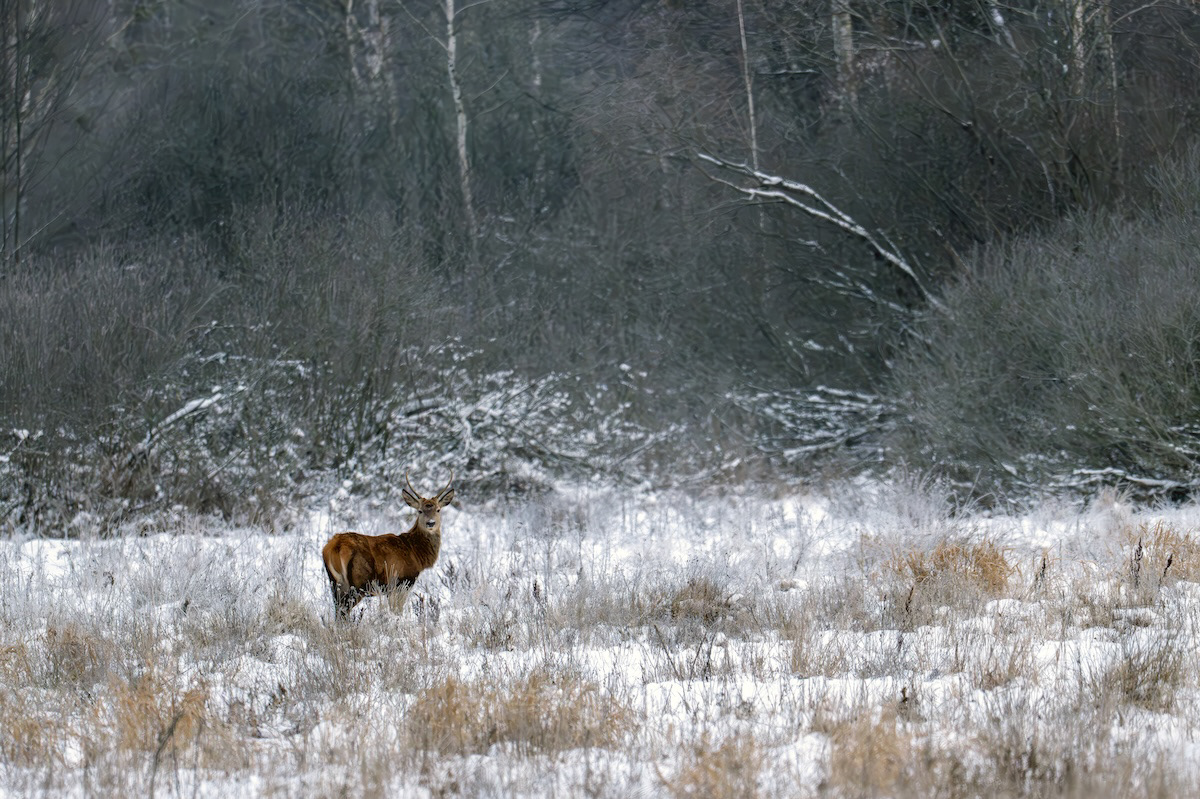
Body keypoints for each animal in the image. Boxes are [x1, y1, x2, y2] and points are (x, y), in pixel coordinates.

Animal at [322, 472, 455, 620]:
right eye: (420, 511)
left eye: (438, 510)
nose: (430, 523)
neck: (415, 553)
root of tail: (336, 547)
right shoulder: (402, 582)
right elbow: (397, 611)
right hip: (358, 583)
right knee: (344, 611)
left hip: (335, 582)